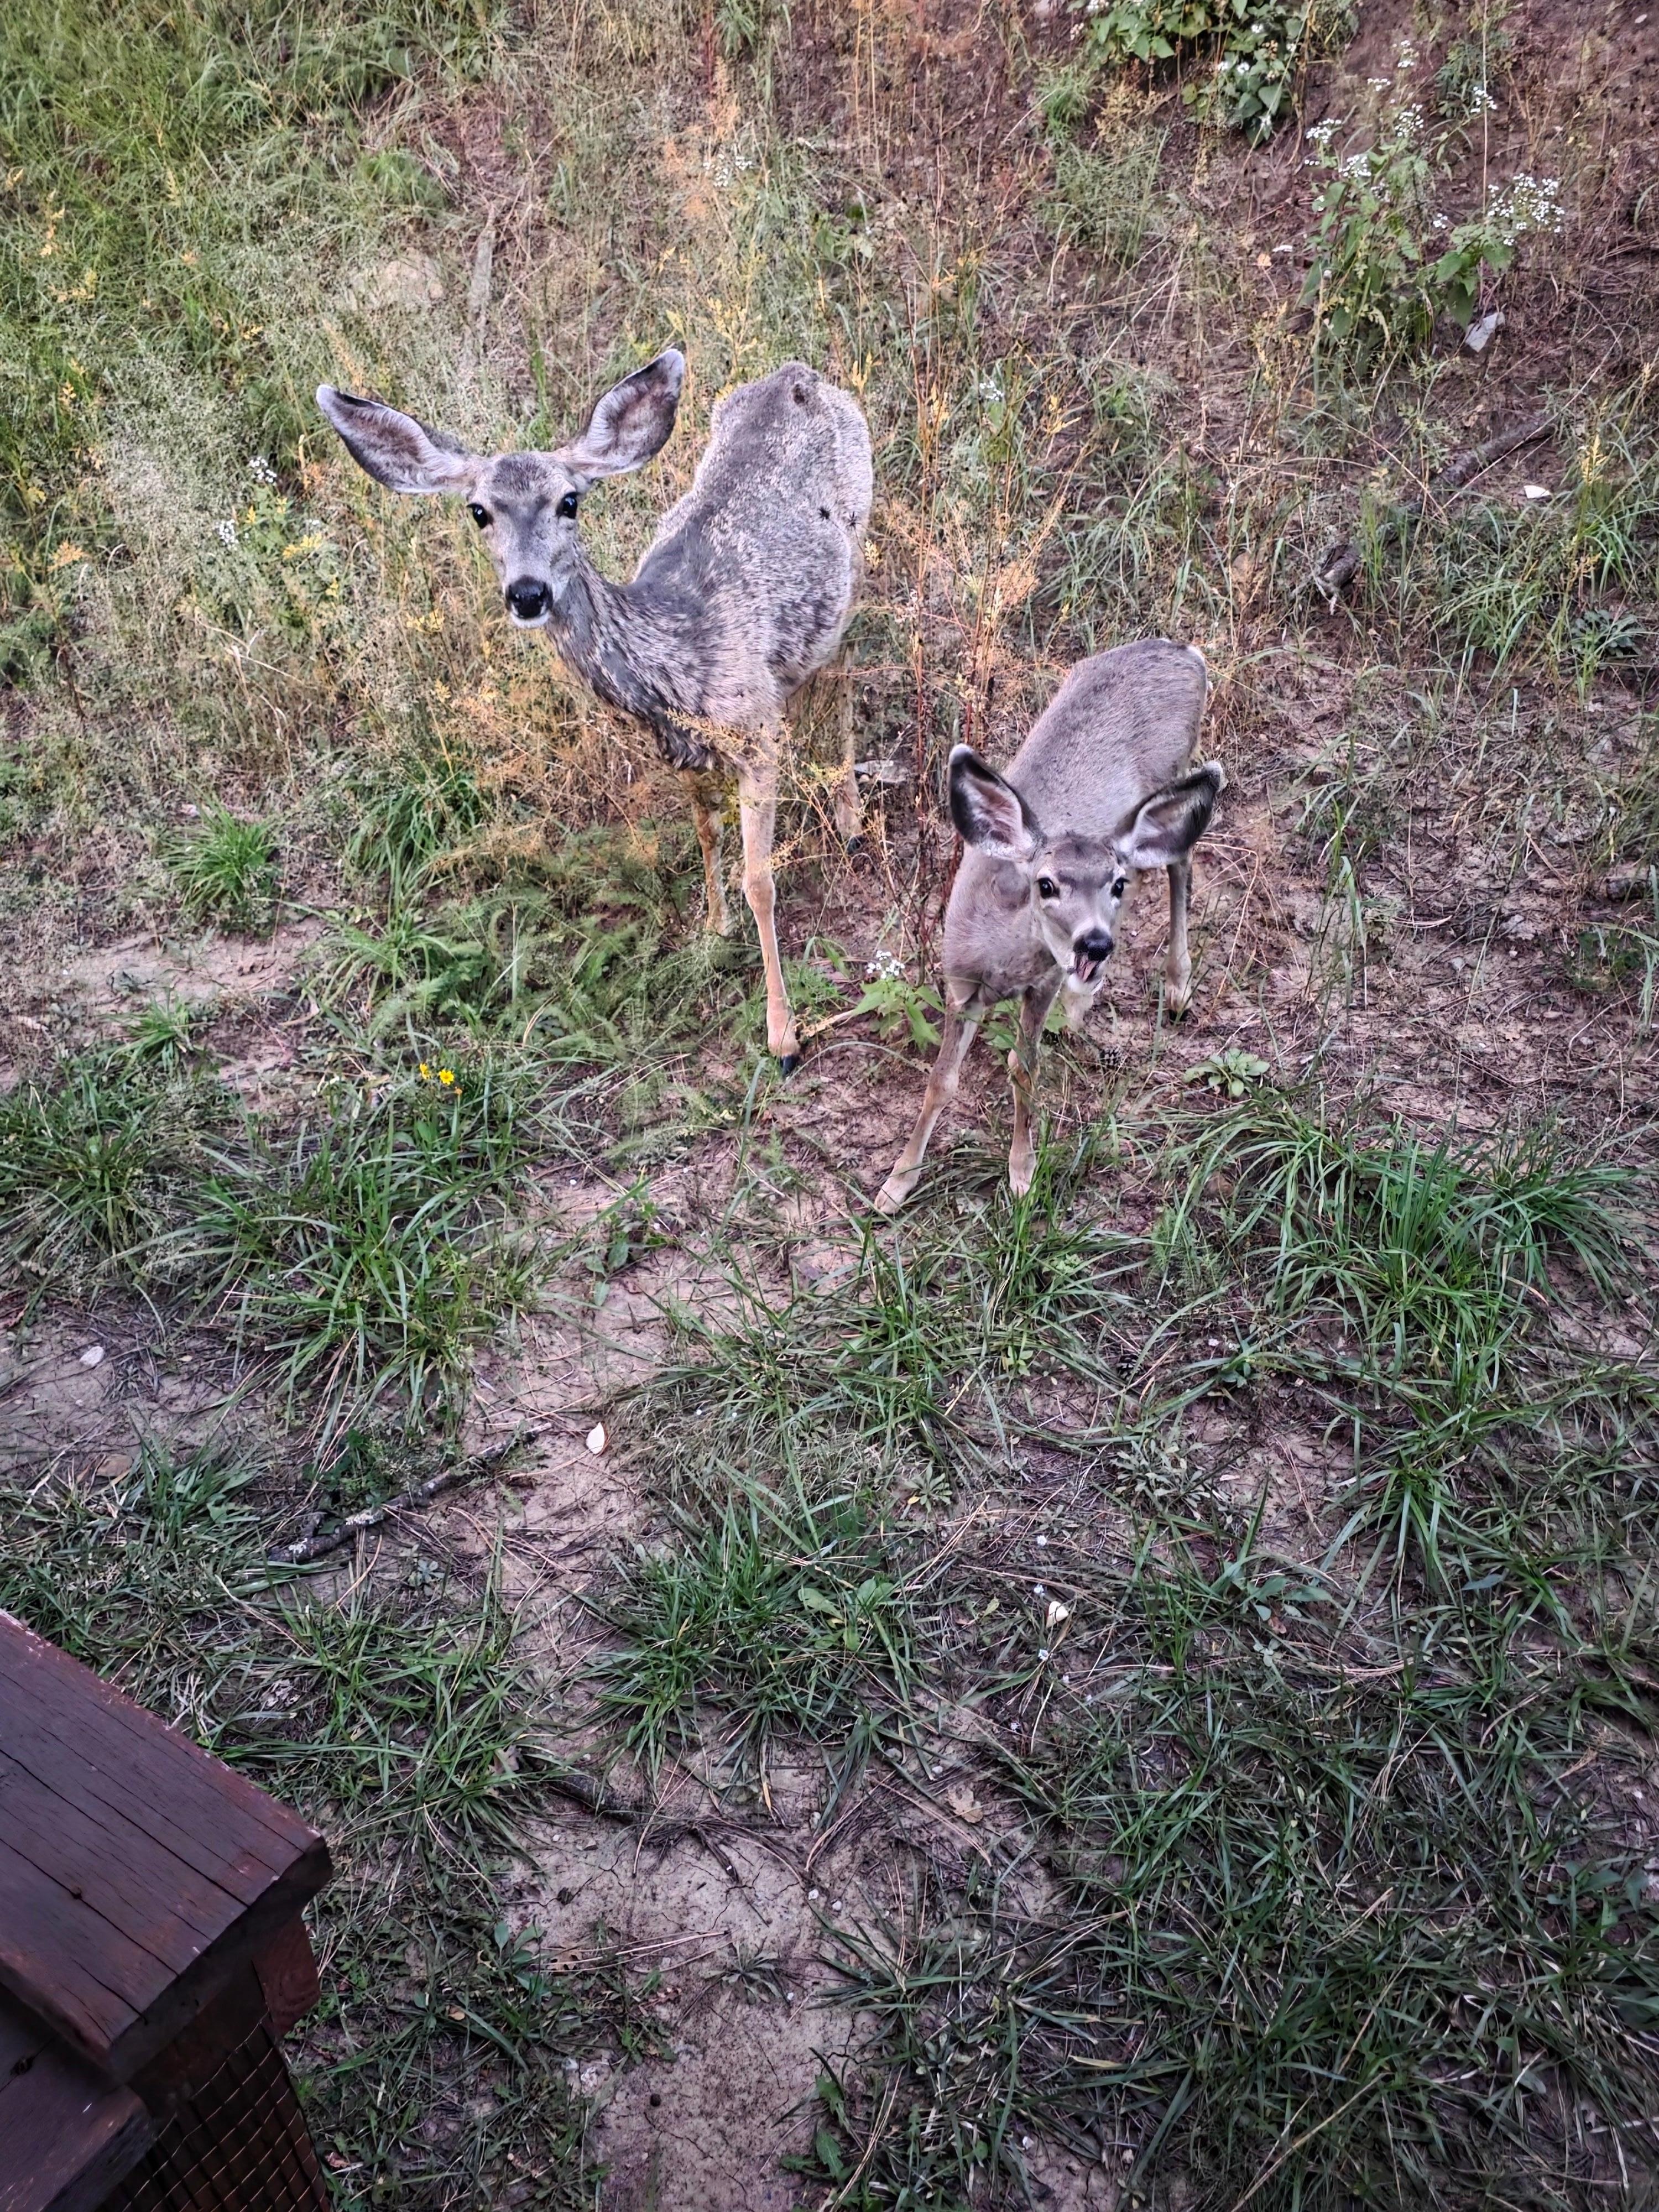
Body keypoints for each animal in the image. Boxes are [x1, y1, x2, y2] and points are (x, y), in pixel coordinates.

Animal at [316, 349, 873, 1071]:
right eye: (478, 511)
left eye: (570, 500)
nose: (528, 593)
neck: (675, 655)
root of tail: (796, 373)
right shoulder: (682, 753)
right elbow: (706, 836)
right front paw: (713, 932)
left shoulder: (755, 733)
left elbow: (761, 880)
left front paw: (783, 1035)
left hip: (858, 541)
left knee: (847, 662)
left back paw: (851, 817)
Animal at [875, 639, 1224, 1213]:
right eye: (1045, 884)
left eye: (1113, 884)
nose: (1096, 943)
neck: (1001, 960)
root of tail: (1183, 651)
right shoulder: (958, 982)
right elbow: (941, 1081)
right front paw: (896, 1183)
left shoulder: (1043, 981)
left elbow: (1023, 1067)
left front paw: (1022, 1173)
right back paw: (1088, 1003)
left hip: (1174, 767)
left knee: (1177, 861)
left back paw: (1177, 986)